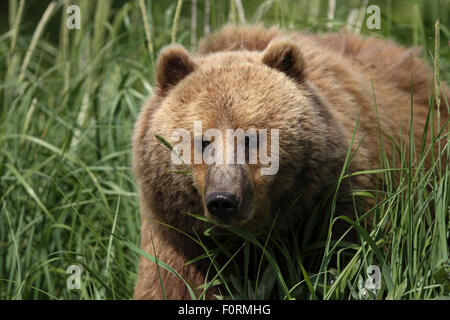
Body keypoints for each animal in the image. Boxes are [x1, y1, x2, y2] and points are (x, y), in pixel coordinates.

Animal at [132, 23, 448, 298]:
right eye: (201, 140)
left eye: (252, 138)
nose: (223, 200)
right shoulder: (179, 233)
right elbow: (171, 281)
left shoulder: (338, 205)